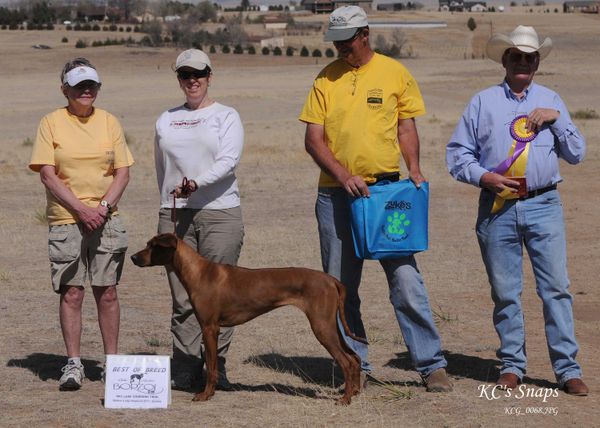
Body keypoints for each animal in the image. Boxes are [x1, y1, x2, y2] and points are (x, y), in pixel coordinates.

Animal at [131, 234, 366, 404]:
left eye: (153, 246)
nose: (133, 257)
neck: (198, 272)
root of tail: (332, 280)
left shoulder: (209, 328)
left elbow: (212, 366)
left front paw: (205, 395)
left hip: (321, 327)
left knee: (346, 362)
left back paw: (345, 399)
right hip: (331, 325)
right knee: (354, 357)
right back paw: (354, 392)